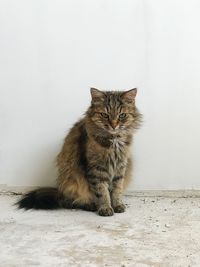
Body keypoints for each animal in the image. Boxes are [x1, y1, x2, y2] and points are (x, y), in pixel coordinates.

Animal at [17, 89, 142, 217]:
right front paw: (105, 208)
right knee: (69, 202)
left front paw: (117, 205)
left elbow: (117, 190)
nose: (114, 125)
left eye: (122, 115)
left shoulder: (120, 167)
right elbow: (102, 191)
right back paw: (90, 205)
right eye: (104, 115)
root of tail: (59, 191)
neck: (114, 140)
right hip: (71, 181)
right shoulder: (96, 169)